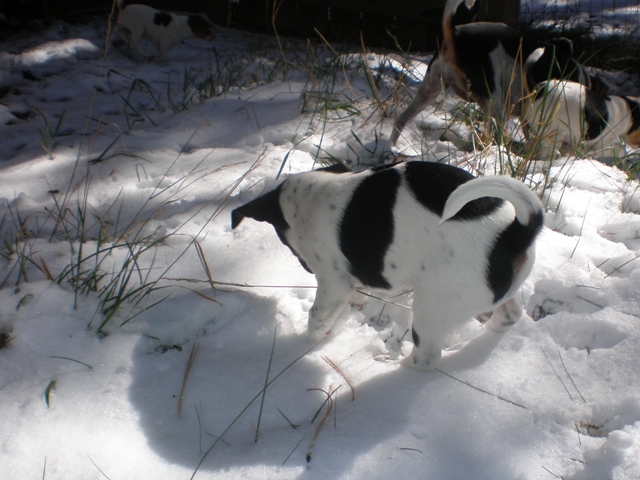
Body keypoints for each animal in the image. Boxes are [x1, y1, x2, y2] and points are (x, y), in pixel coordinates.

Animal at [232, 163, 544, 370]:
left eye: (284, 240)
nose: (306, 268)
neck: (313, 198)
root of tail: (516, 234)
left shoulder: (334, 283)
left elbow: (316, 318)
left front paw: (309, 343)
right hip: (495, 294)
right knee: (509, 315)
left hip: (431, 309)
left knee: (425, 357)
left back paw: (396, 367)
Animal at [388, 0, 608, 144]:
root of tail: (455, 35)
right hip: (497, 106)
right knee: (495, 137)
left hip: (430, 89)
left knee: (400, 120)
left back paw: (391, 148)